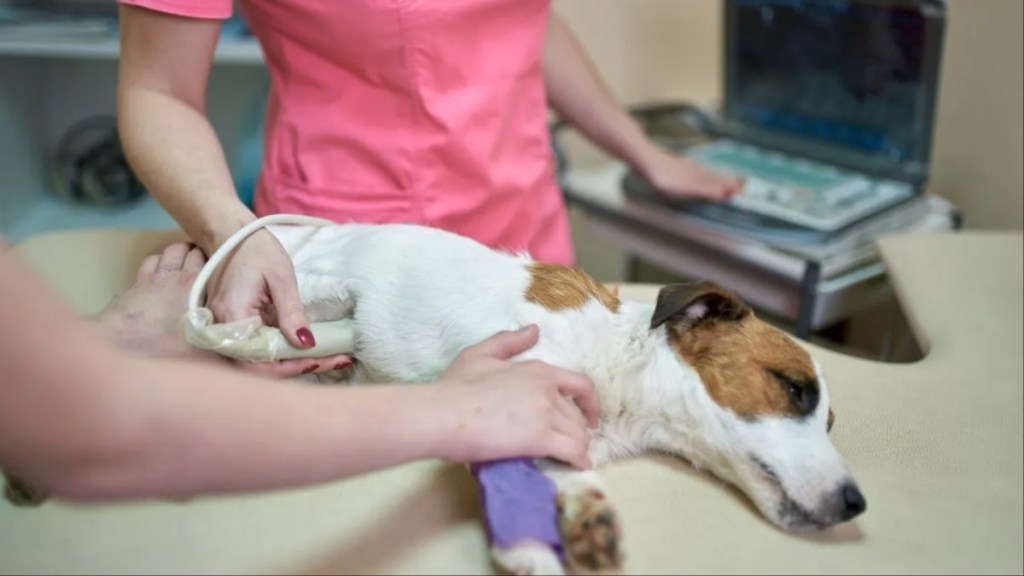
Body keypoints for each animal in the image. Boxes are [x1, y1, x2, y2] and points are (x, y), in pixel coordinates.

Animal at [262, 222, 864, 573]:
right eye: (793, 389)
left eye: (831, 422)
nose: (856, 503)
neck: (621, 364)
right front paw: (527, 546)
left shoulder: (563, 435)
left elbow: (564, 472)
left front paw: (579, 520)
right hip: (311, 297)